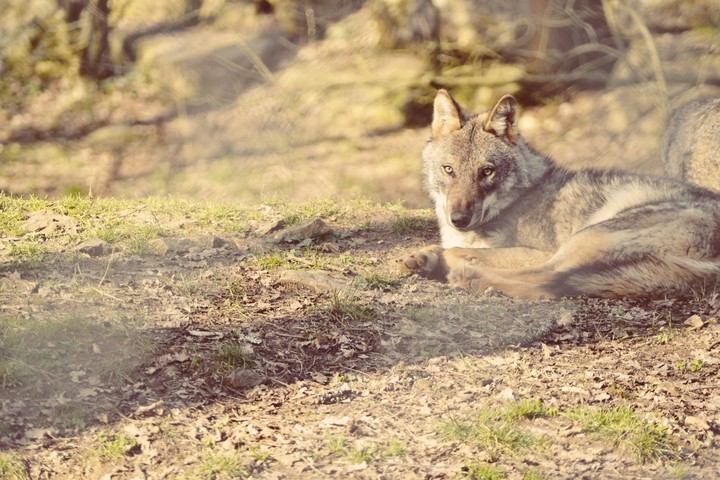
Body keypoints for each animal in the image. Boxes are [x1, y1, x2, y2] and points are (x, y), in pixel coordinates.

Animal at [398, 89, 720, 299]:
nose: (459, 219)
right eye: (449, 169)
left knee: (548, 277)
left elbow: (459, 251)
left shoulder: (538, 249)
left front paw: (446, 259)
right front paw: (422, 257)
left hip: (587, 237)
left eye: (486, 172)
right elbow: (445, 247)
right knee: (555, 282)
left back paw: (472, 279)